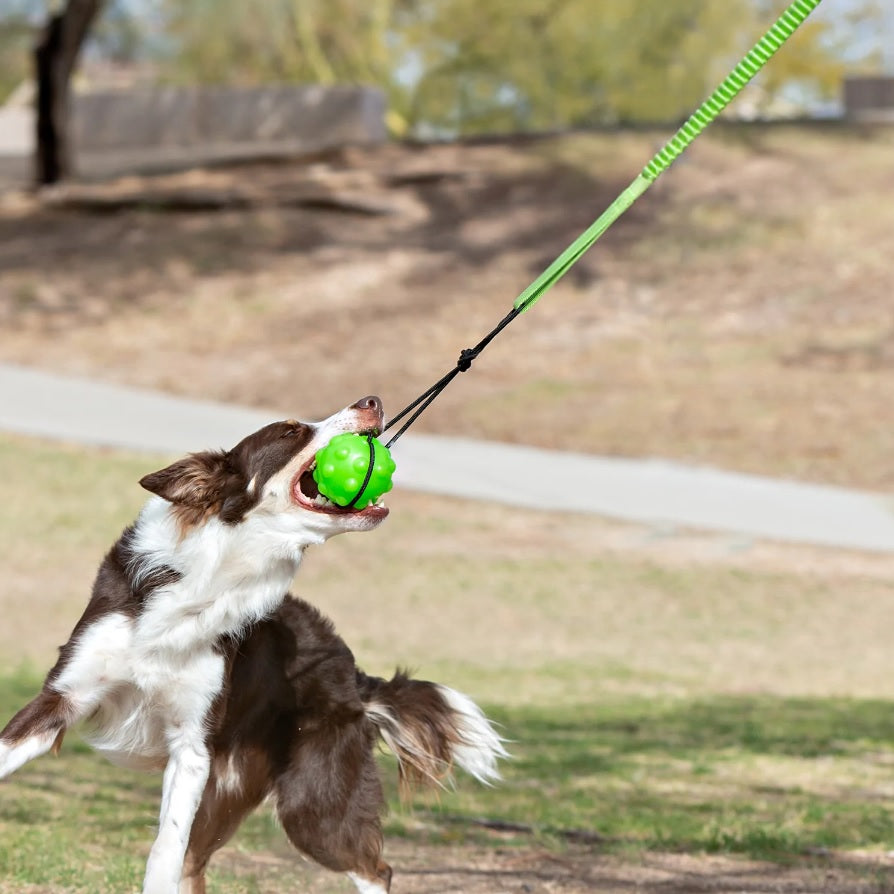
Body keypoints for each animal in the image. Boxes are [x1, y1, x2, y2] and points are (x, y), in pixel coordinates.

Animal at [0, 400, 504, 894]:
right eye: (290, 432)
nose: (373, 402)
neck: (214, 572)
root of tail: (354, 674)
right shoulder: (63, 697)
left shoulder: (192, 748)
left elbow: (164, 852)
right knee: (196, 867)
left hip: (312, 804)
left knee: (376, 869)